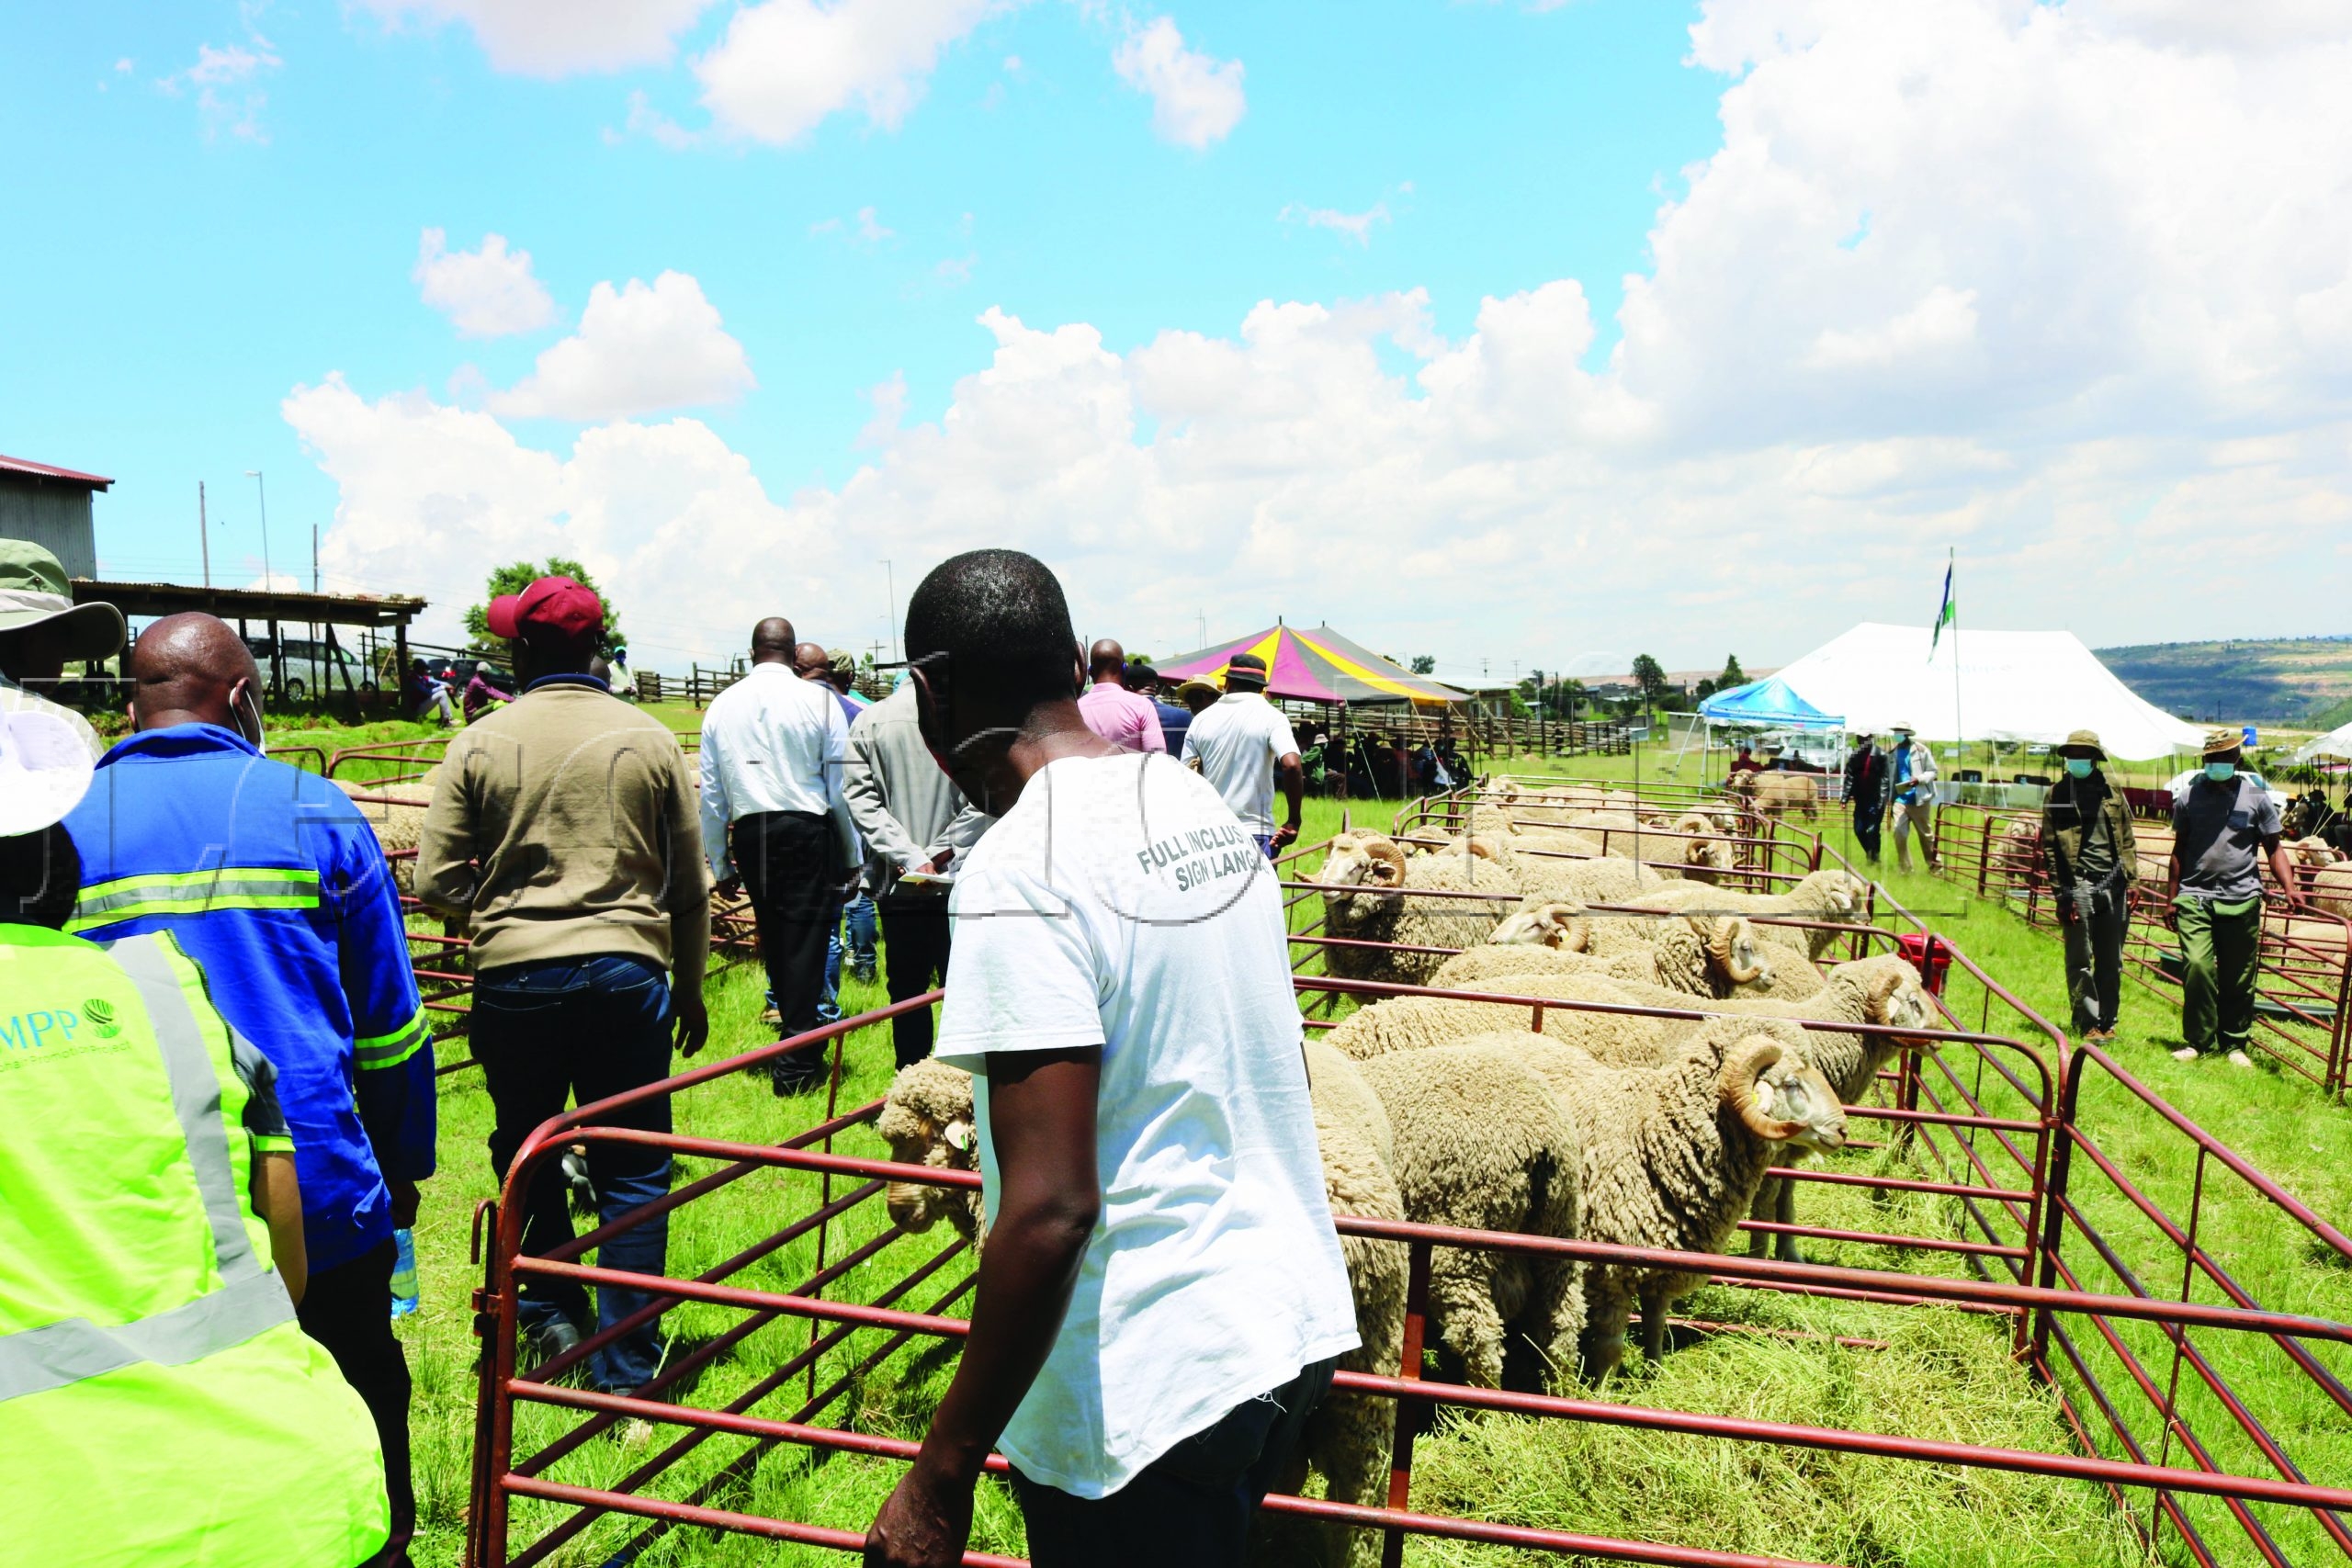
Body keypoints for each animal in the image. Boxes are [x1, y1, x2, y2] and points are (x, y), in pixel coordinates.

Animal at [1363, 1048, 1580, 1392]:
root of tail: (1543, 1141)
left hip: (1461, 1235)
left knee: (1479, 1329)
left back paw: (1479, 1397)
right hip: (1557, 1228)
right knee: (1562, 1315)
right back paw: (1560, 1385)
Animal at [1486, 1020, 1834, 1372]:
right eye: (1791, 1082)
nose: (1841, 1129)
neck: (1655, 1131)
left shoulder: (1665, 1262)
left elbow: (1655, 1326)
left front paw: (1656, 1371)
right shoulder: (1609, 1270)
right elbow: (1610, 1347)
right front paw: (1604, 1385)